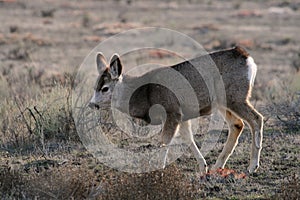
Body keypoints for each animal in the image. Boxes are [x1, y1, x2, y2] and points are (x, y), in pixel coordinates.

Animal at [88, 46, 262, 176]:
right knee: (237, 124)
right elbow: (189, 139)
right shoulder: (182, 117)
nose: (92, 104)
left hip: (236, 97)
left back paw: (252, 166)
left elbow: (165, 142)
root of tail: (247, 58)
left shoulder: (172, 112)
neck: (145, 93)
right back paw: (217, 167)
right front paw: (203, 168)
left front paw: (158, 170)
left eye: (104, 88)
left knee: (256, 119)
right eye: (95, 86)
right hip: (223, 103)